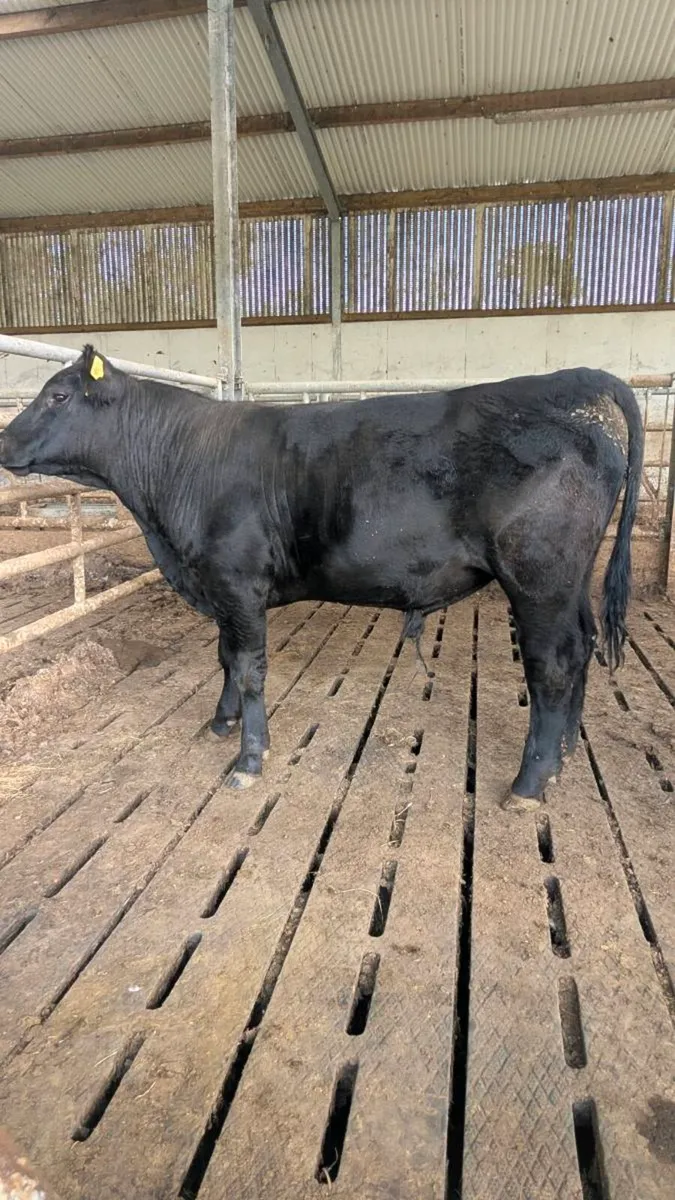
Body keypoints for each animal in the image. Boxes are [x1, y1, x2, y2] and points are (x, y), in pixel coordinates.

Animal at [0, 347, 643, 807]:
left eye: (58, 394)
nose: (2, 441)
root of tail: (579, 378)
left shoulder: (237, 582)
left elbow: (250, 668)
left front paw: (249, 758)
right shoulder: (220, 584)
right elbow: (226, 657)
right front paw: (221, 721)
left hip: (538, 576)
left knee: (552, 664)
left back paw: (529, 782)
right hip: (570, 581)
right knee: (582, 647)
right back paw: (563, 754)